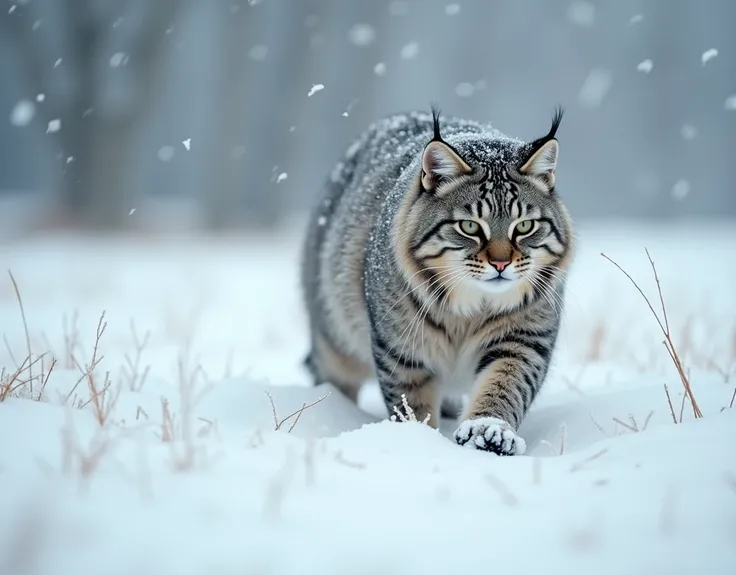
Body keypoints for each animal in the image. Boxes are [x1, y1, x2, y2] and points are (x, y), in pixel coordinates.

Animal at [300, 108, 576, 456]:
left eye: (525, 226)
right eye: (470, 227)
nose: (501, 263)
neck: (470, 309)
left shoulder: (523, 339)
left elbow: (506, 385)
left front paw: (489, 432)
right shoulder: (402, 347)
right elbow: (411, 402)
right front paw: (420, 441)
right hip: (335, 338)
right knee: (333, 376)